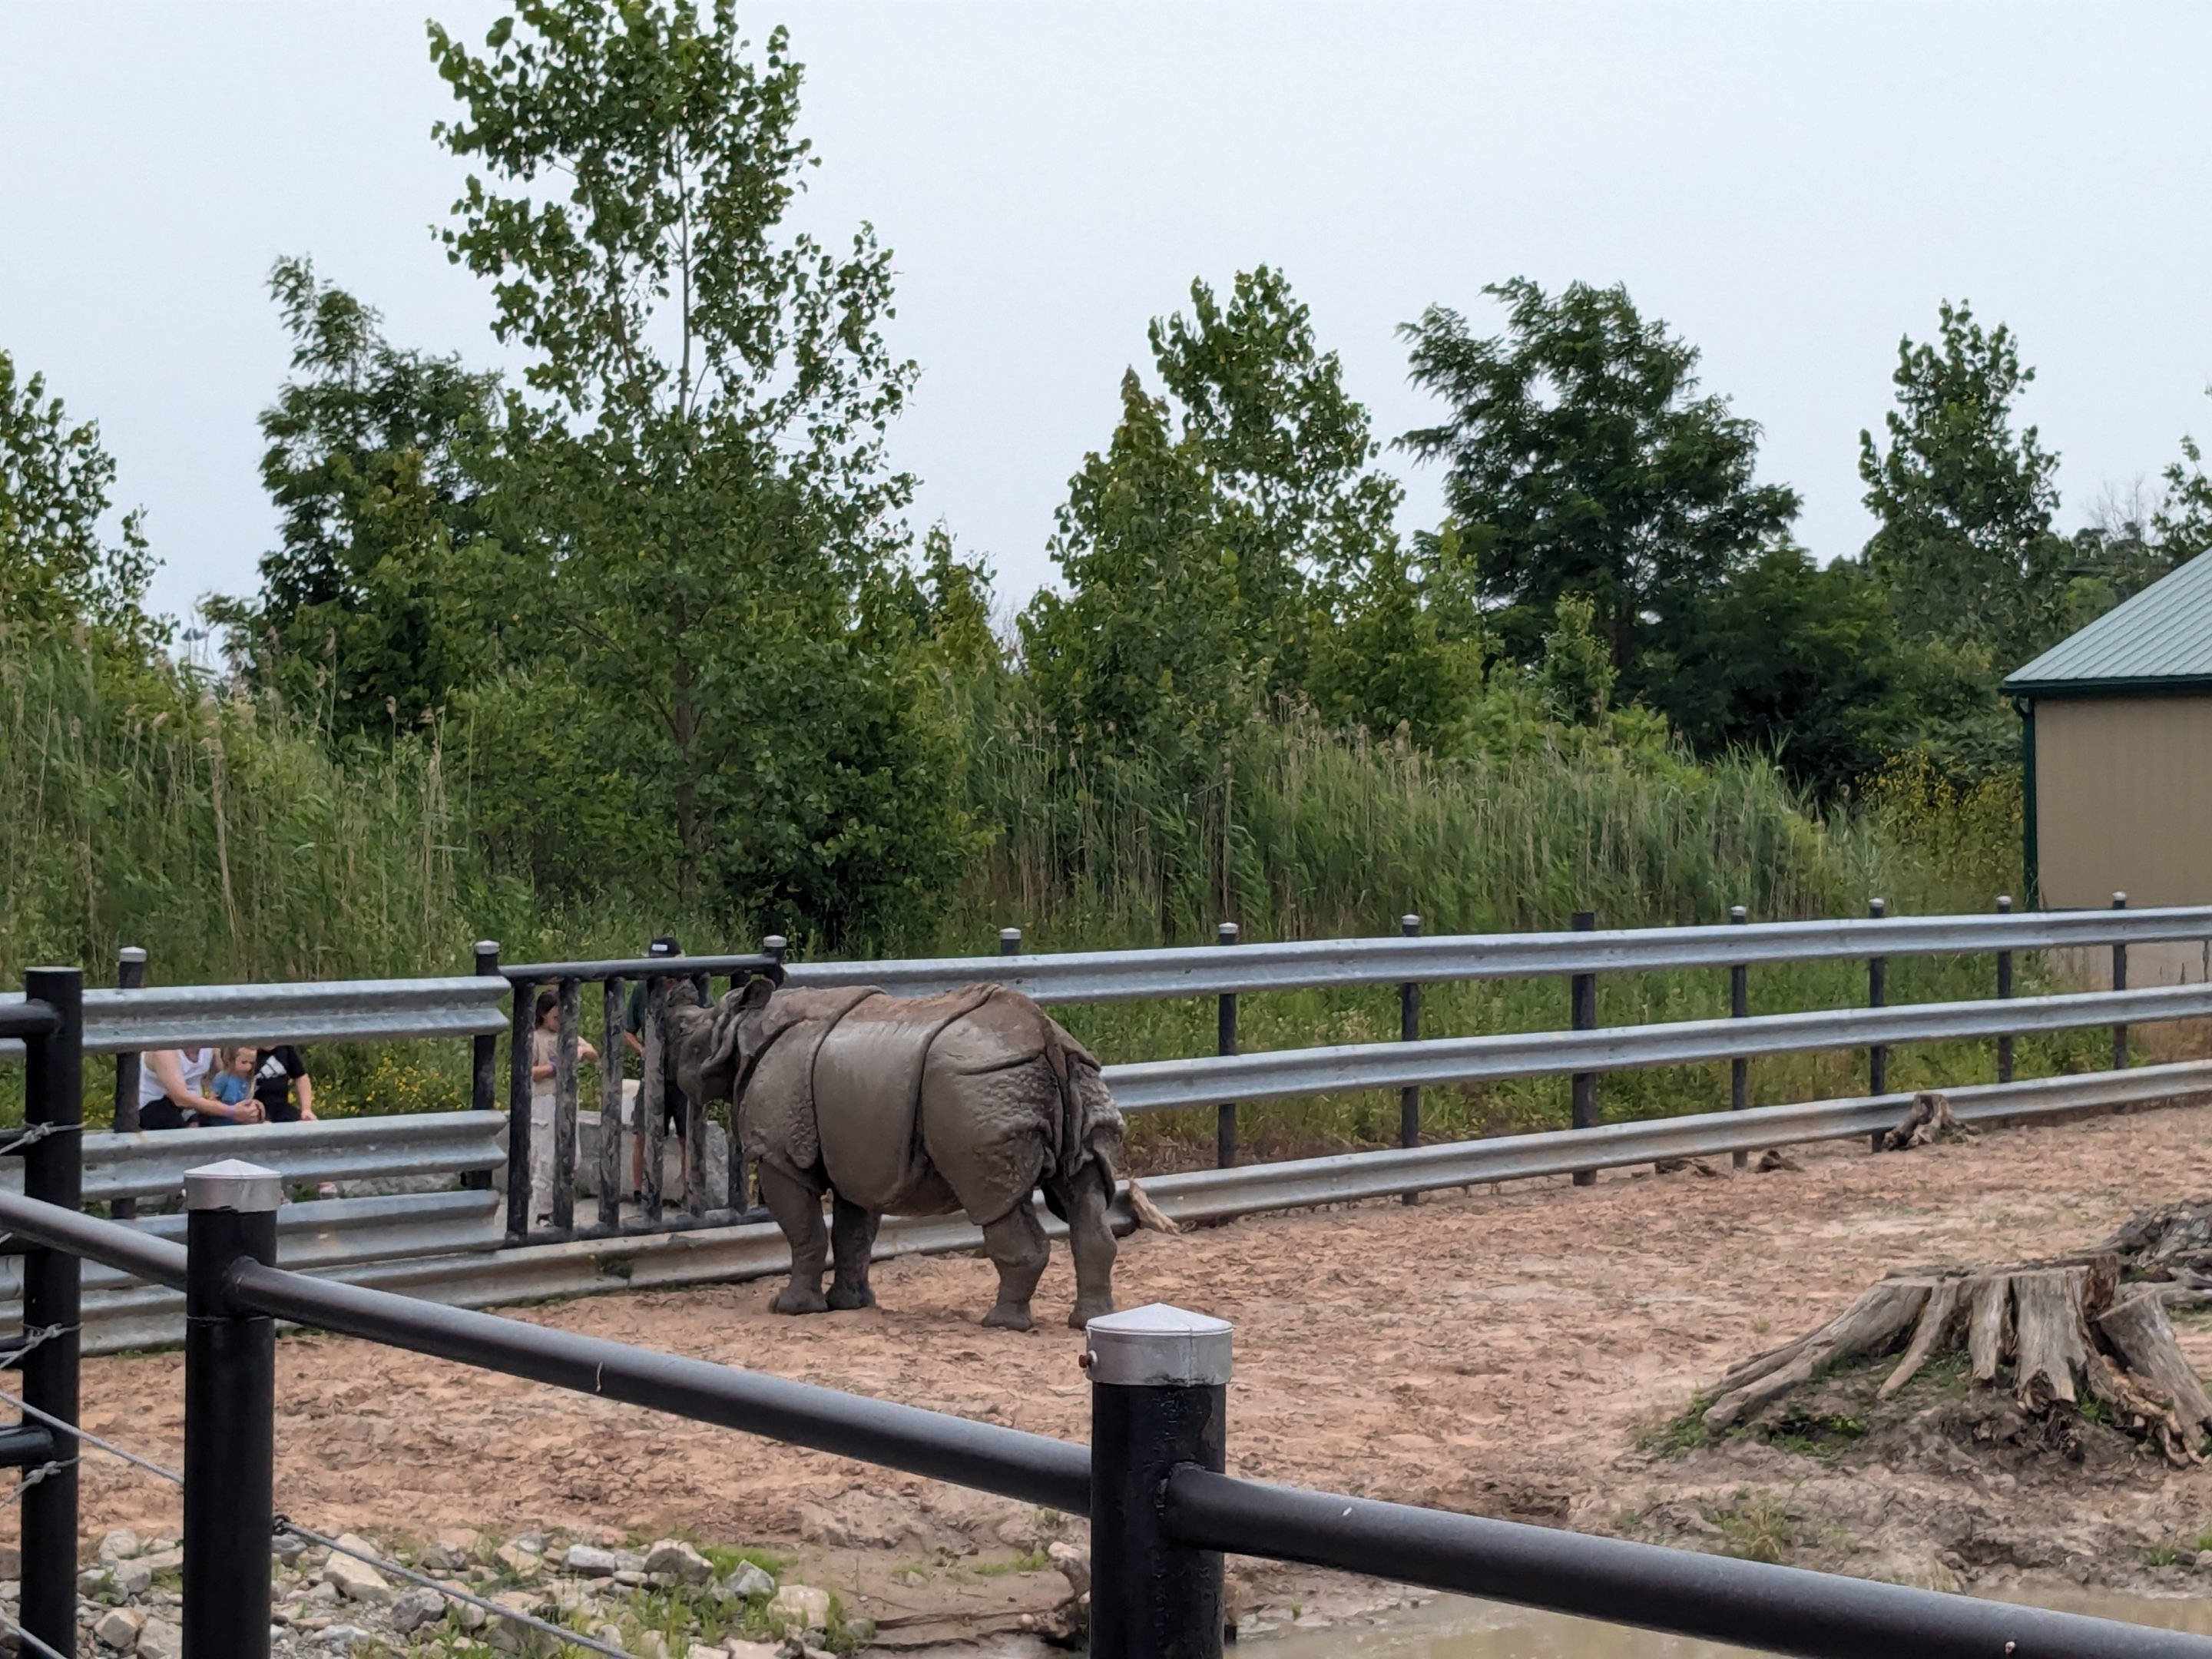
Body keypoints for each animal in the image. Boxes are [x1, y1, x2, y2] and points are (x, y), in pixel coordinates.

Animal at [666, 978, 1172, 1330]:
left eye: (684, 1033)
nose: (673, 1015)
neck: (739, 1030)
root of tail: (1047, 1036)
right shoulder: (859, 1153)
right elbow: (854, 1233)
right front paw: (849, 1306)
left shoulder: (779, 1154)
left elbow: (803, 1230)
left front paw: (790, 1309)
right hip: (1080, 1077)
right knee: (1085, 1192)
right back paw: (1091, 1320)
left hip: (978, 1086)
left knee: (991, 1198)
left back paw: (1002, 1324)